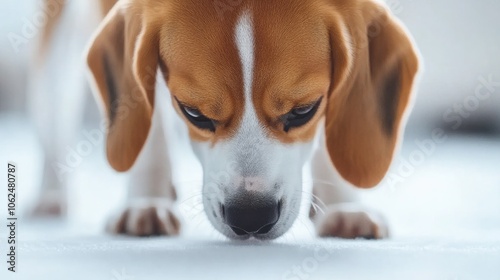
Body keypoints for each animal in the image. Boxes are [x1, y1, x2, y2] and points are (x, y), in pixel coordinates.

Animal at [40, 0, 418, 241]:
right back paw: (50, 196)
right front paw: (145, 201)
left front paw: (344, 206)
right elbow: (147, 121)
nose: (250, 218)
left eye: (303, 111)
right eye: (193, 112)